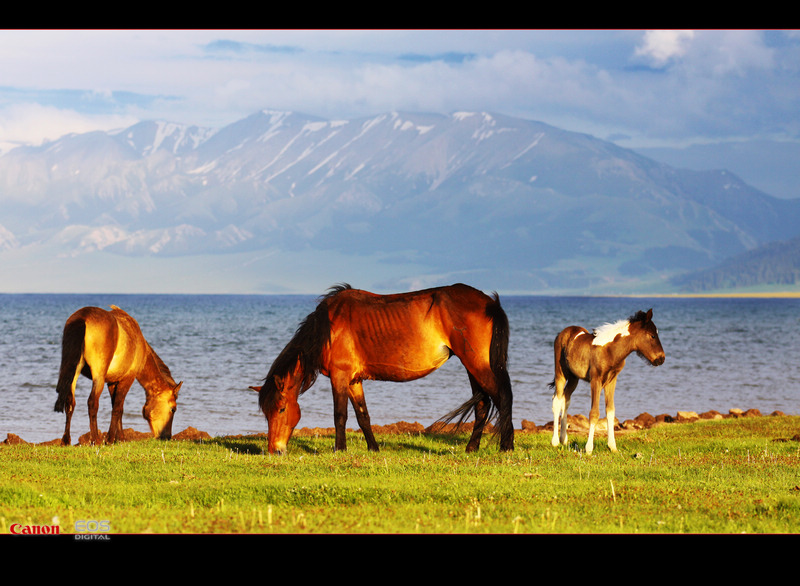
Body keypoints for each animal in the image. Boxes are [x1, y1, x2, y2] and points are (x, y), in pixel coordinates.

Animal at [53, 305, 183, 445]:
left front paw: (120, 438)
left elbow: (118, 408)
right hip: (98, 377)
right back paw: (96, 440)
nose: (167, 436)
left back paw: (66, 440)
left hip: (73, 373)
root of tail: (83, 317)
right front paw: (110, 439)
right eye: (173, 409)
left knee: (70, 402)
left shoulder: (112, 382)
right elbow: (117, 407)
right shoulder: (127, 379)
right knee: (92, 402)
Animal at [258, 283, 514, 455]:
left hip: (477, 364)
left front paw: (340, 449)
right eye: (266, 413)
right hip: (472, 367)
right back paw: (472, 448)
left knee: (502, 397)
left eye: (281, 409)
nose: (274, 450)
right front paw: (373, 448)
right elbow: (363, 416)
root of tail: (490, 303)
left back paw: (506, 446)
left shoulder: (340, 377)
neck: (328, 328)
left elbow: (340, 415)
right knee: (483, 404)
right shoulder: (354, 380)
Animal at [549, 308, 665, 454]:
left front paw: (612, 446)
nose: (661, 358)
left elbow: (610, 411)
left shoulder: (611, 381)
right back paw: (555, 442)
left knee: (566, 399)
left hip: (574, 378)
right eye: (652, 336)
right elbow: (594, 413)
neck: (610, 351)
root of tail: (562, 332)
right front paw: (589, 449)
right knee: (557, 400)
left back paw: (564, 439)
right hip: (561, 372)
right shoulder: (596, 380)